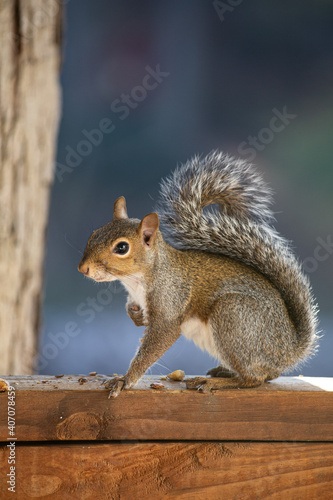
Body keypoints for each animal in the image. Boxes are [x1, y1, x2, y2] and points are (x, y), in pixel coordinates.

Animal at [78, 150, 320, 396]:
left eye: (122, 248)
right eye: (94, 234)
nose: (83, 268)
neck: (136, 280)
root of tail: (289, 349)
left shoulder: (170, 300)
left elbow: (159, 339)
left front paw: (126, 379)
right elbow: (133, 310)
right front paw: (136, 315)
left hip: (234, 317)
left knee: (254, 378)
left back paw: (215, 382)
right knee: (268, 374)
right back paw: (225, 372)